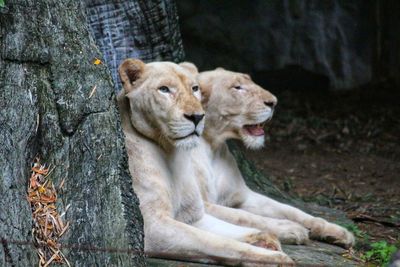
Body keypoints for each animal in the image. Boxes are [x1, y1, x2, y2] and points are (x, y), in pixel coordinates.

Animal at [117, 59, 292, 266]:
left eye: (194, 88)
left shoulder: (195, 216)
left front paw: (267, 239)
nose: (197, 117)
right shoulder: (152, 227)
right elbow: (219, 243)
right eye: (164, 89)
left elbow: (235, 226)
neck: (170, 153)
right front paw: (274, 257)